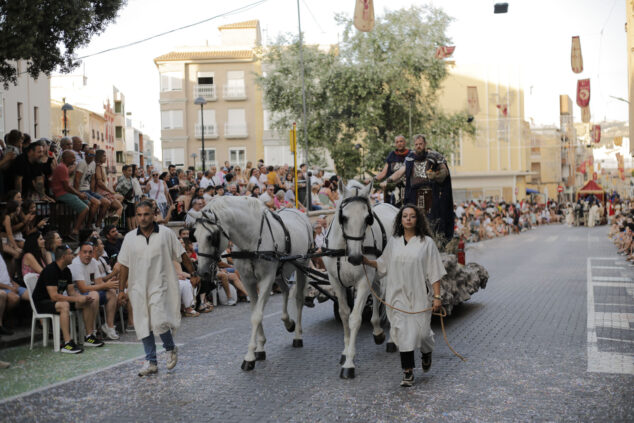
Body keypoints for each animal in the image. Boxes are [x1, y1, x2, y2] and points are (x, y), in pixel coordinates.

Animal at [193, 196, 312, 372]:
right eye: (194, 235)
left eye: (211, 236)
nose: (201, 272)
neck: (252, 240)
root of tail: (298, 211)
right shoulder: (248, 281)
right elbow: (255, 310)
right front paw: (260, 348)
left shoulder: (266, 279)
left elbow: (257, 316)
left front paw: (249, 357)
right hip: (280, 271)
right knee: (285, 290)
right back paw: (288, 322)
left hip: (302, 265)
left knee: (298, 299)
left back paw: (297, 334)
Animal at [324, 181, 398, 380]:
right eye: (344, 217)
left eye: (367, 219)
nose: (356, 258)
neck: (344, 249)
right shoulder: (335, 281)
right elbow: (343, 314)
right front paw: (345, 352)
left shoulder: (363, 281)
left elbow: (355, 318)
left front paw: (349, 363)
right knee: (378, 294)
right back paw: (378, 330)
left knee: (390, 301)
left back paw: (392, 339)